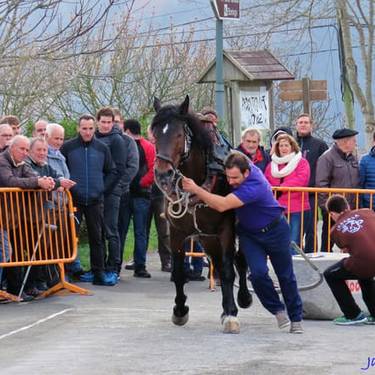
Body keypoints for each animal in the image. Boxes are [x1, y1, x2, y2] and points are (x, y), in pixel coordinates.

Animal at [151, 95, 253, 334]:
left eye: (179, 134)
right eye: (155, 134)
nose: (163, 173)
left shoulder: (226, 229)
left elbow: (229, 270)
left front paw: (231, 314)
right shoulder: (178, 231)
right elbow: (179, 273)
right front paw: (180, 310)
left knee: (239, 261)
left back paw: (241, 299)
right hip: (207, 238)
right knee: (218, 262)